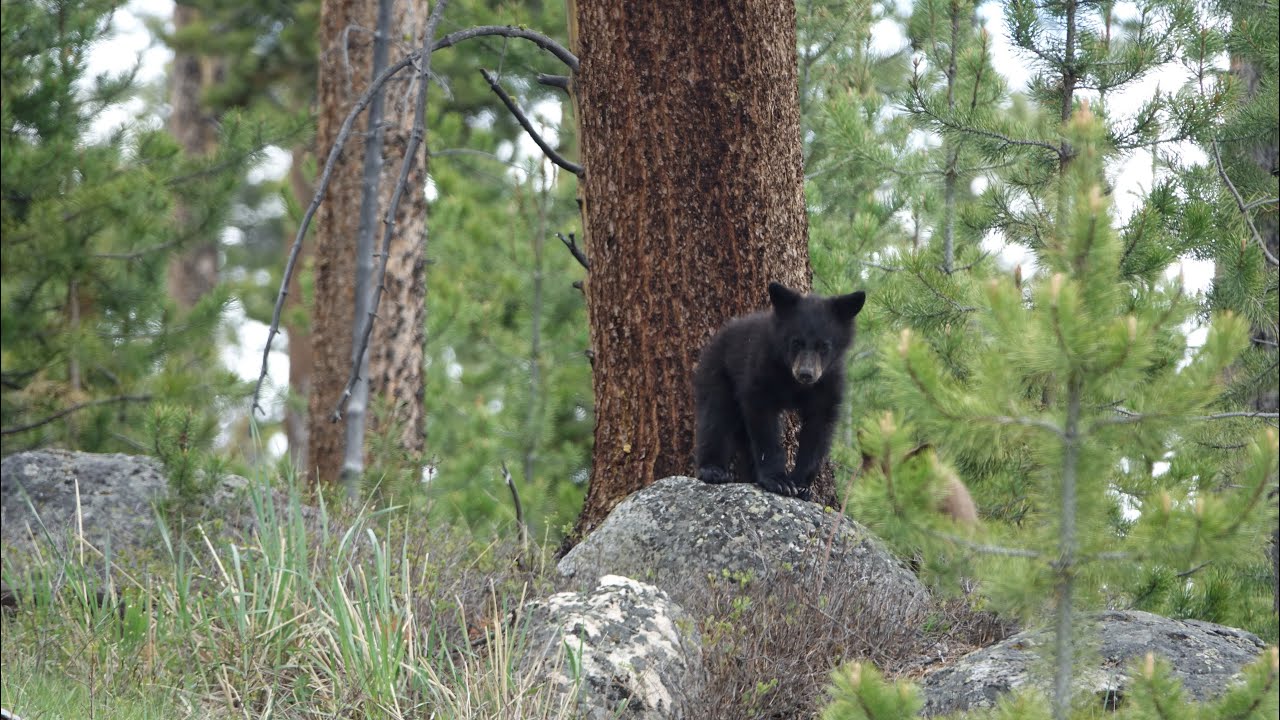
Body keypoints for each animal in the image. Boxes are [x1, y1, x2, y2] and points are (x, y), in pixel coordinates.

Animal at [693, 281, 866, 499]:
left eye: (824, 345)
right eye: (796, 342)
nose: (806, 374)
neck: (793, 382)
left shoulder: (827, 384)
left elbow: (818, 430)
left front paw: (801, 485)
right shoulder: (762, 370)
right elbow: (764, 422)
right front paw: (778, 481)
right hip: (718, 371)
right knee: (715, 416)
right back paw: (713, 469)